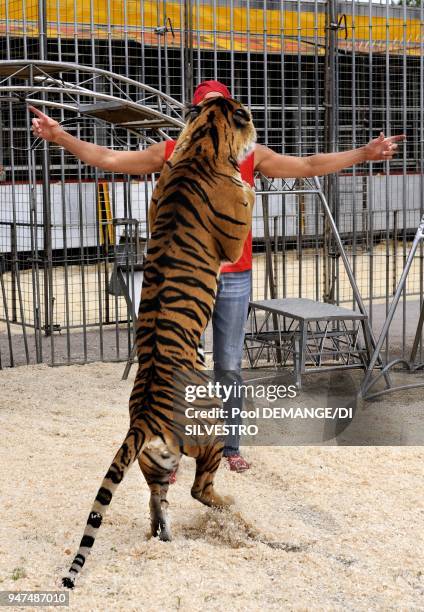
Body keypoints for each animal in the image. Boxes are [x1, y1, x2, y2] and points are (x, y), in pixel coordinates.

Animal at [61, 95, 256, 588]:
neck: (202, 143)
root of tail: (143, 416)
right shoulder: (232, 236)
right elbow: (246, 204)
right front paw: (251, 183)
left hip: (156, 461)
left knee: (157, 499)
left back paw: (162, 535)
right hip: (209, 433)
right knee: (200, 490)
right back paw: (227, 506)